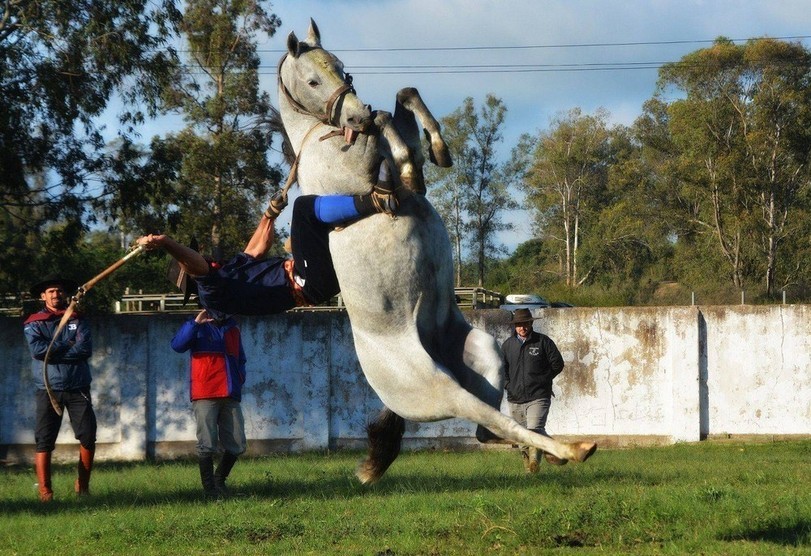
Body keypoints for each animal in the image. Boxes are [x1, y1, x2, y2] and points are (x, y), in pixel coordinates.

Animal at [280, 20, 596, 482]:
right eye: (312, 80)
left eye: (341, 67)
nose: (356, 114)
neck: (317, 136)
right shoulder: (363, 174)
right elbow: (392, 137)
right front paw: (413, 164)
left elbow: (403, 100)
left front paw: (436, 152)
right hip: (435, 387)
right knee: (484, 416)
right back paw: (573, 449)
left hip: (484, 354)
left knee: (487, 427)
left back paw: (546, 452)